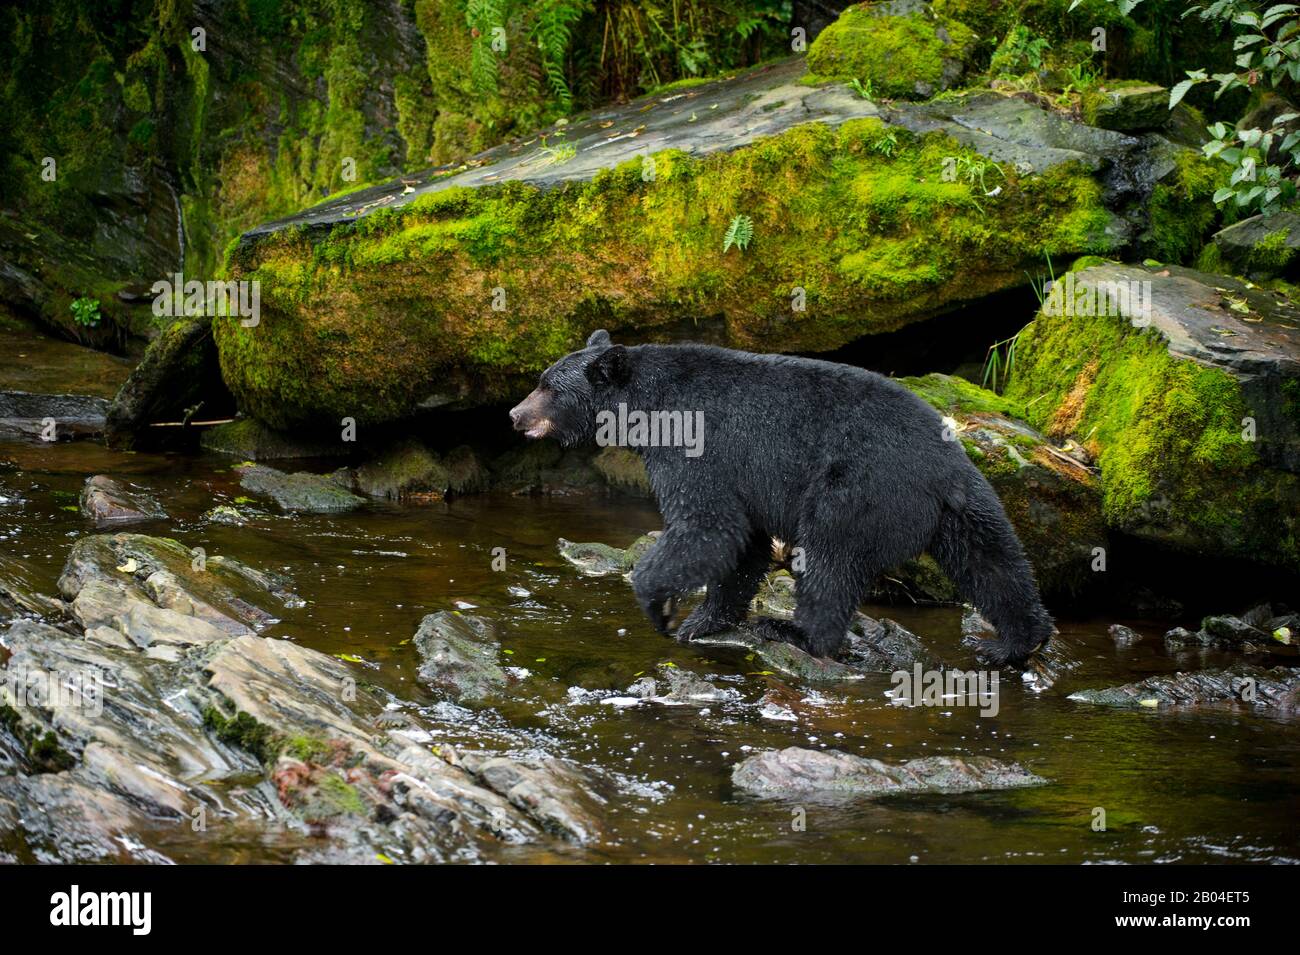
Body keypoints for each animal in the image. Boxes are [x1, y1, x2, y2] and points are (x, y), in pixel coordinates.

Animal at [509, 332, 1055, 670]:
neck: (648, 404)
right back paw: (1014, 642)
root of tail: (939, 474)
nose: (513, 414)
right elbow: (744, 543)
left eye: (547, 387)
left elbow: (708, 525)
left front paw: (660, 607)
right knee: (994, 564)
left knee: (829, 560)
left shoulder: (699, 446)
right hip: (970, 505)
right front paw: (704, 621)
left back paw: (795, 632)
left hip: (854, 492)